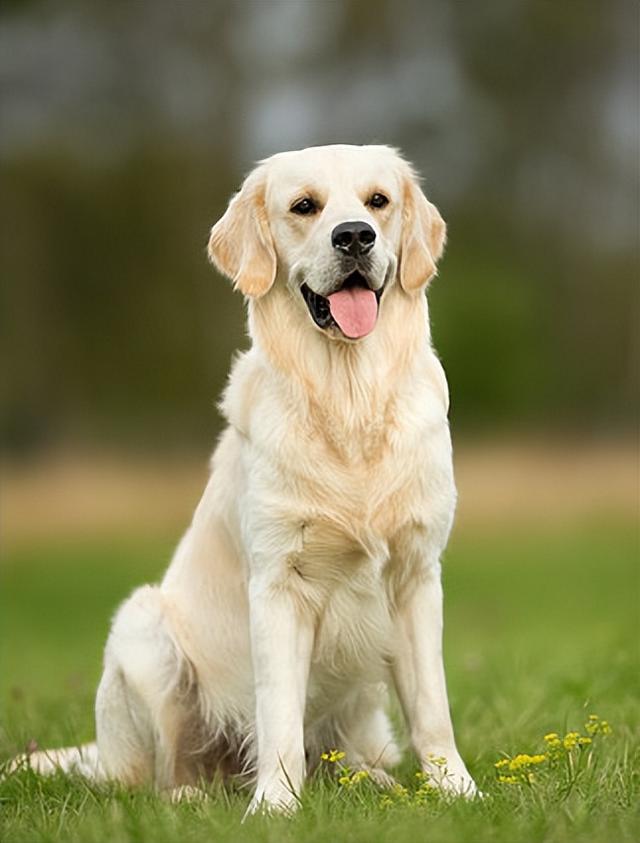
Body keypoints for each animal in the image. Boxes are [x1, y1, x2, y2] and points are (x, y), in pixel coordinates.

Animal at [12, 143, 478, 812]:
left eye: (378, 201)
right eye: (304, 206)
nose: (355, 236)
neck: (348, 400)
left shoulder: (417, 575)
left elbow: (433, 708)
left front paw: (458, 791)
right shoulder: (279, 581)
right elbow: (278, 711)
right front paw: (277, 807)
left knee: (347, 755)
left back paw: (371, 778)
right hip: (143, 632)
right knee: (162, 777)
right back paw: (195, 796)